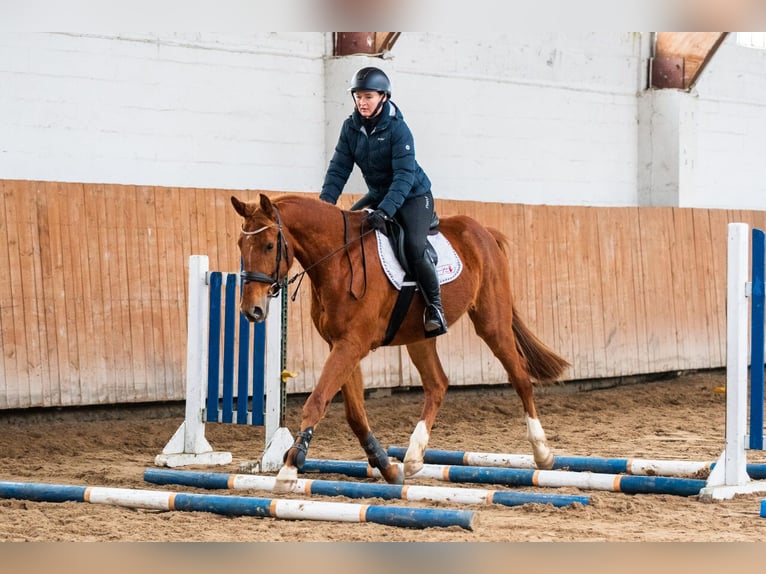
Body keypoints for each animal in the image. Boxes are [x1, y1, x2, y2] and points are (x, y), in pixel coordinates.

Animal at [231, 194, 572, 490]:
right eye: (240, 245)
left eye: (269, 245)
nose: (252, 310)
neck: (339, 260)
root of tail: (485, 232)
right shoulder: (340, 345)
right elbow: (355, 414)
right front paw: (387, 466)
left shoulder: (351, 344)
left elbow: (318, 400)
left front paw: (290, 467)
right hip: (420, 337)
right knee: (438, 384)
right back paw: (414, 456)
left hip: (492, 323)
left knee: (520, 377)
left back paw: (543, 454)